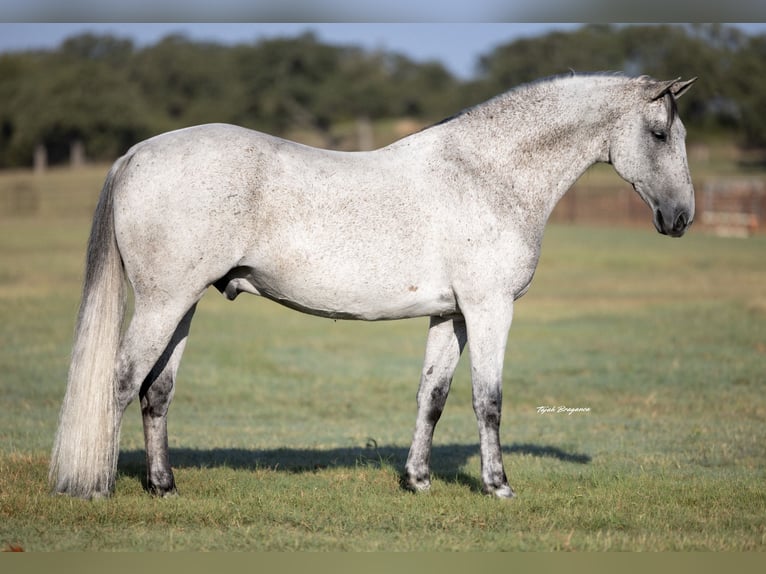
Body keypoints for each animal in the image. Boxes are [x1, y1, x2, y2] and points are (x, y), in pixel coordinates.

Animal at [49, 72, 697, 500]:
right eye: (661, 134)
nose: (681, 218)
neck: (485, 174)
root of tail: (135, 153)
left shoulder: (451, 315)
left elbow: (432, 397)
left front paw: (418, 481)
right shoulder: (489, 309)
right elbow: (488, 401)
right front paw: (498, 486)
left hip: (181, 306)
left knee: (156, 392)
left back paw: (164, 486)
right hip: (163, 304)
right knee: (121, 381)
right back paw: (99, 487)